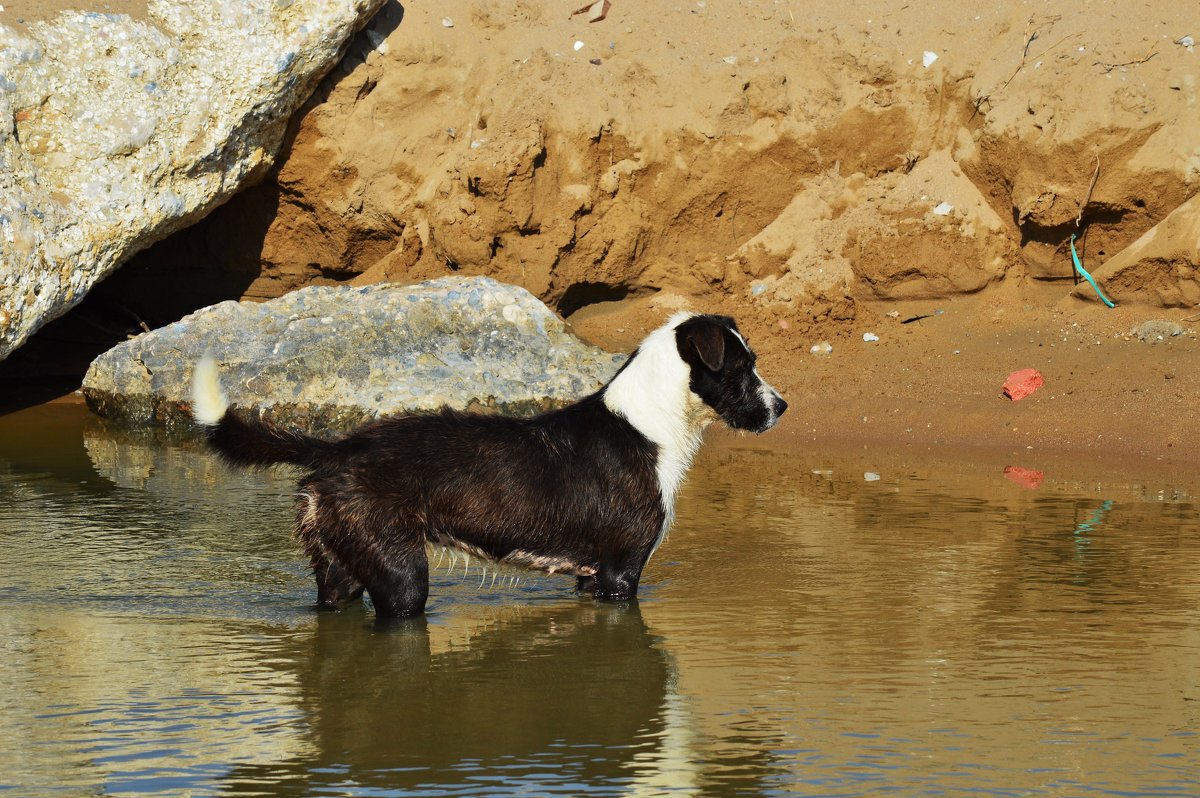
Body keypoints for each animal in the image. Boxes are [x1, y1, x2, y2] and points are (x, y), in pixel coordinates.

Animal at [189, 309, 787, 614]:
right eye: (744, 368)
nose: (782, 406)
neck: (651, 421)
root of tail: (337, 446)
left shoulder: (591, 578)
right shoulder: (621, 574)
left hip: (340, 568)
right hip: (400, 575)